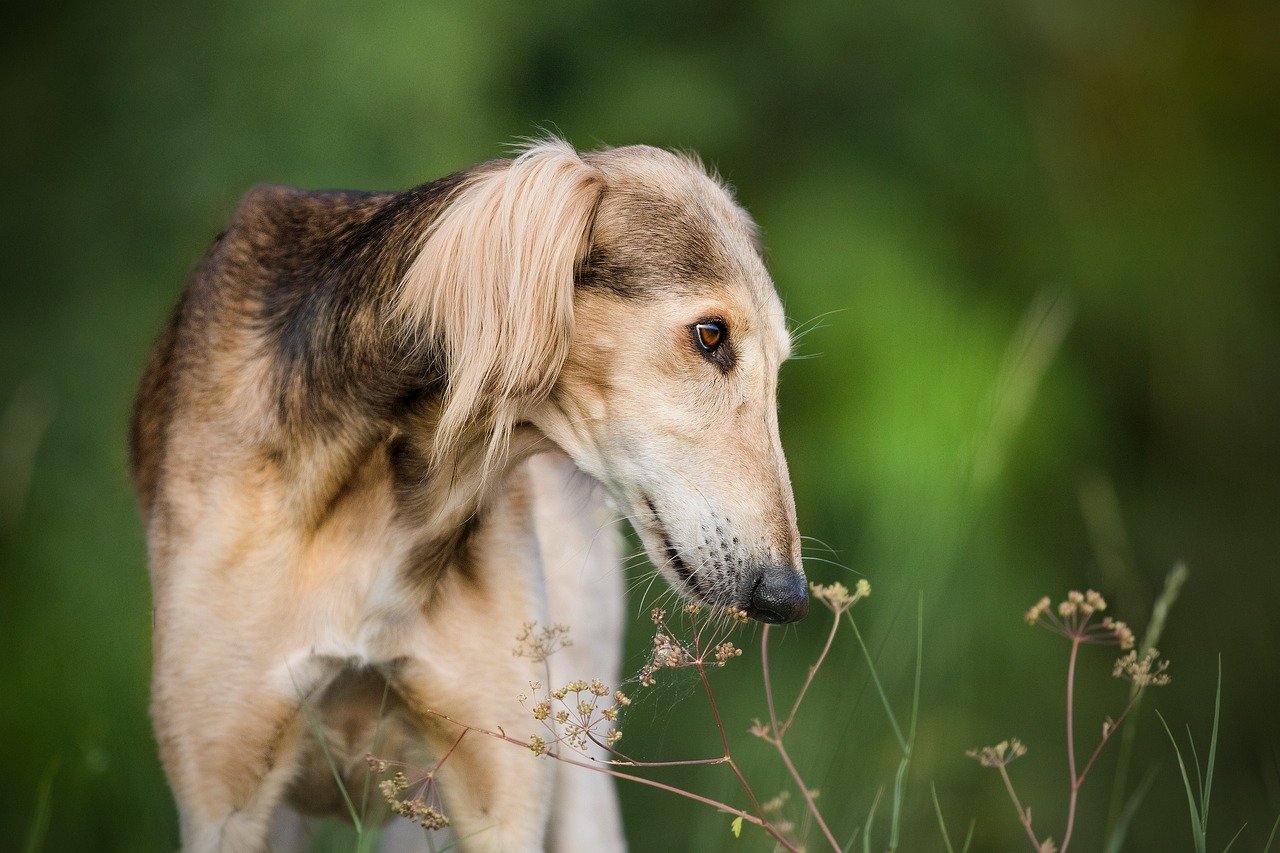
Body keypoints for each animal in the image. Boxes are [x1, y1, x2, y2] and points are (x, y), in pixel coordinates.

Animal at [132, 136, 808, 845]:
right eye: (710, 335)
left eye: (779, 366)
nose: (787, 597)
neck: (391, 509)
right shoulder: (223, 799)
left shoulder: (502, 793)